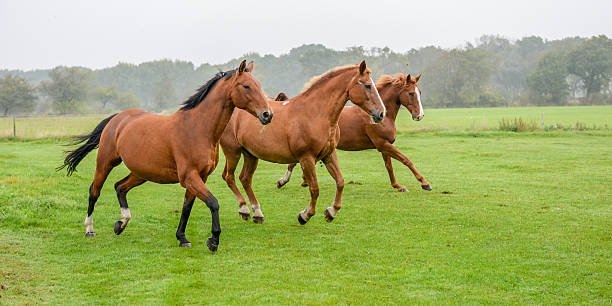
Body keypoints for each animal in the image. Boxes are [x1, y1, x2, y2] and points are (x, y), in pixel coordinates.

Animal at [57, 60, 272, 253]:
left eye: (259, 85)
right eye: (246, 86)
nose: (267, 115)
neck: (198, 128)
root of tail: (117, 118)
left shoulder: (199, 177)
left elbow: (187, 207)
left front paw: (182, 238)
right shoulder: (189, 177)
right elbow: (213, 203)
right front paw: (213, 241)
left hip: (141, 173)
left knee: (120, 187)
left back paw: (121, 223)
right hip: (105, 163)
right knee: (95, 191)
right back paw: (90, 229)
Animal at [219, 61, 382, 225]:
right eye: (367, 85)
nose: (381, 113)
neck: (315, 113)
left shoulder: (329, 155)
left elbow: (340, 182)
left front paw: (331, 212)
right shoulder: (306, 158)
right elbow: (314, 189)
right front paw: (305, 215)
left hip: (251, 155)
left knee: (245, 179)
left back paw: (257, 213)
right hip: (233, 152)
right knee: (229, 177)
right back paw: (244, 209)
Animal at [274, 73, 432, 192]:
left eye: (419, 92)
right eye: (411, 93)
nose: (420, 115)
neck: (382, 116)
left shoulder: (384, 145)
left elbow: (389, 167)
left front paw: (398, 186)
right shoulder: (382, 144)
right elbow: (406, 160)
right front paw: (425, 183)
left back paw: (302, 181)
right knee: (293, 163)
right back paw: (283, 181)